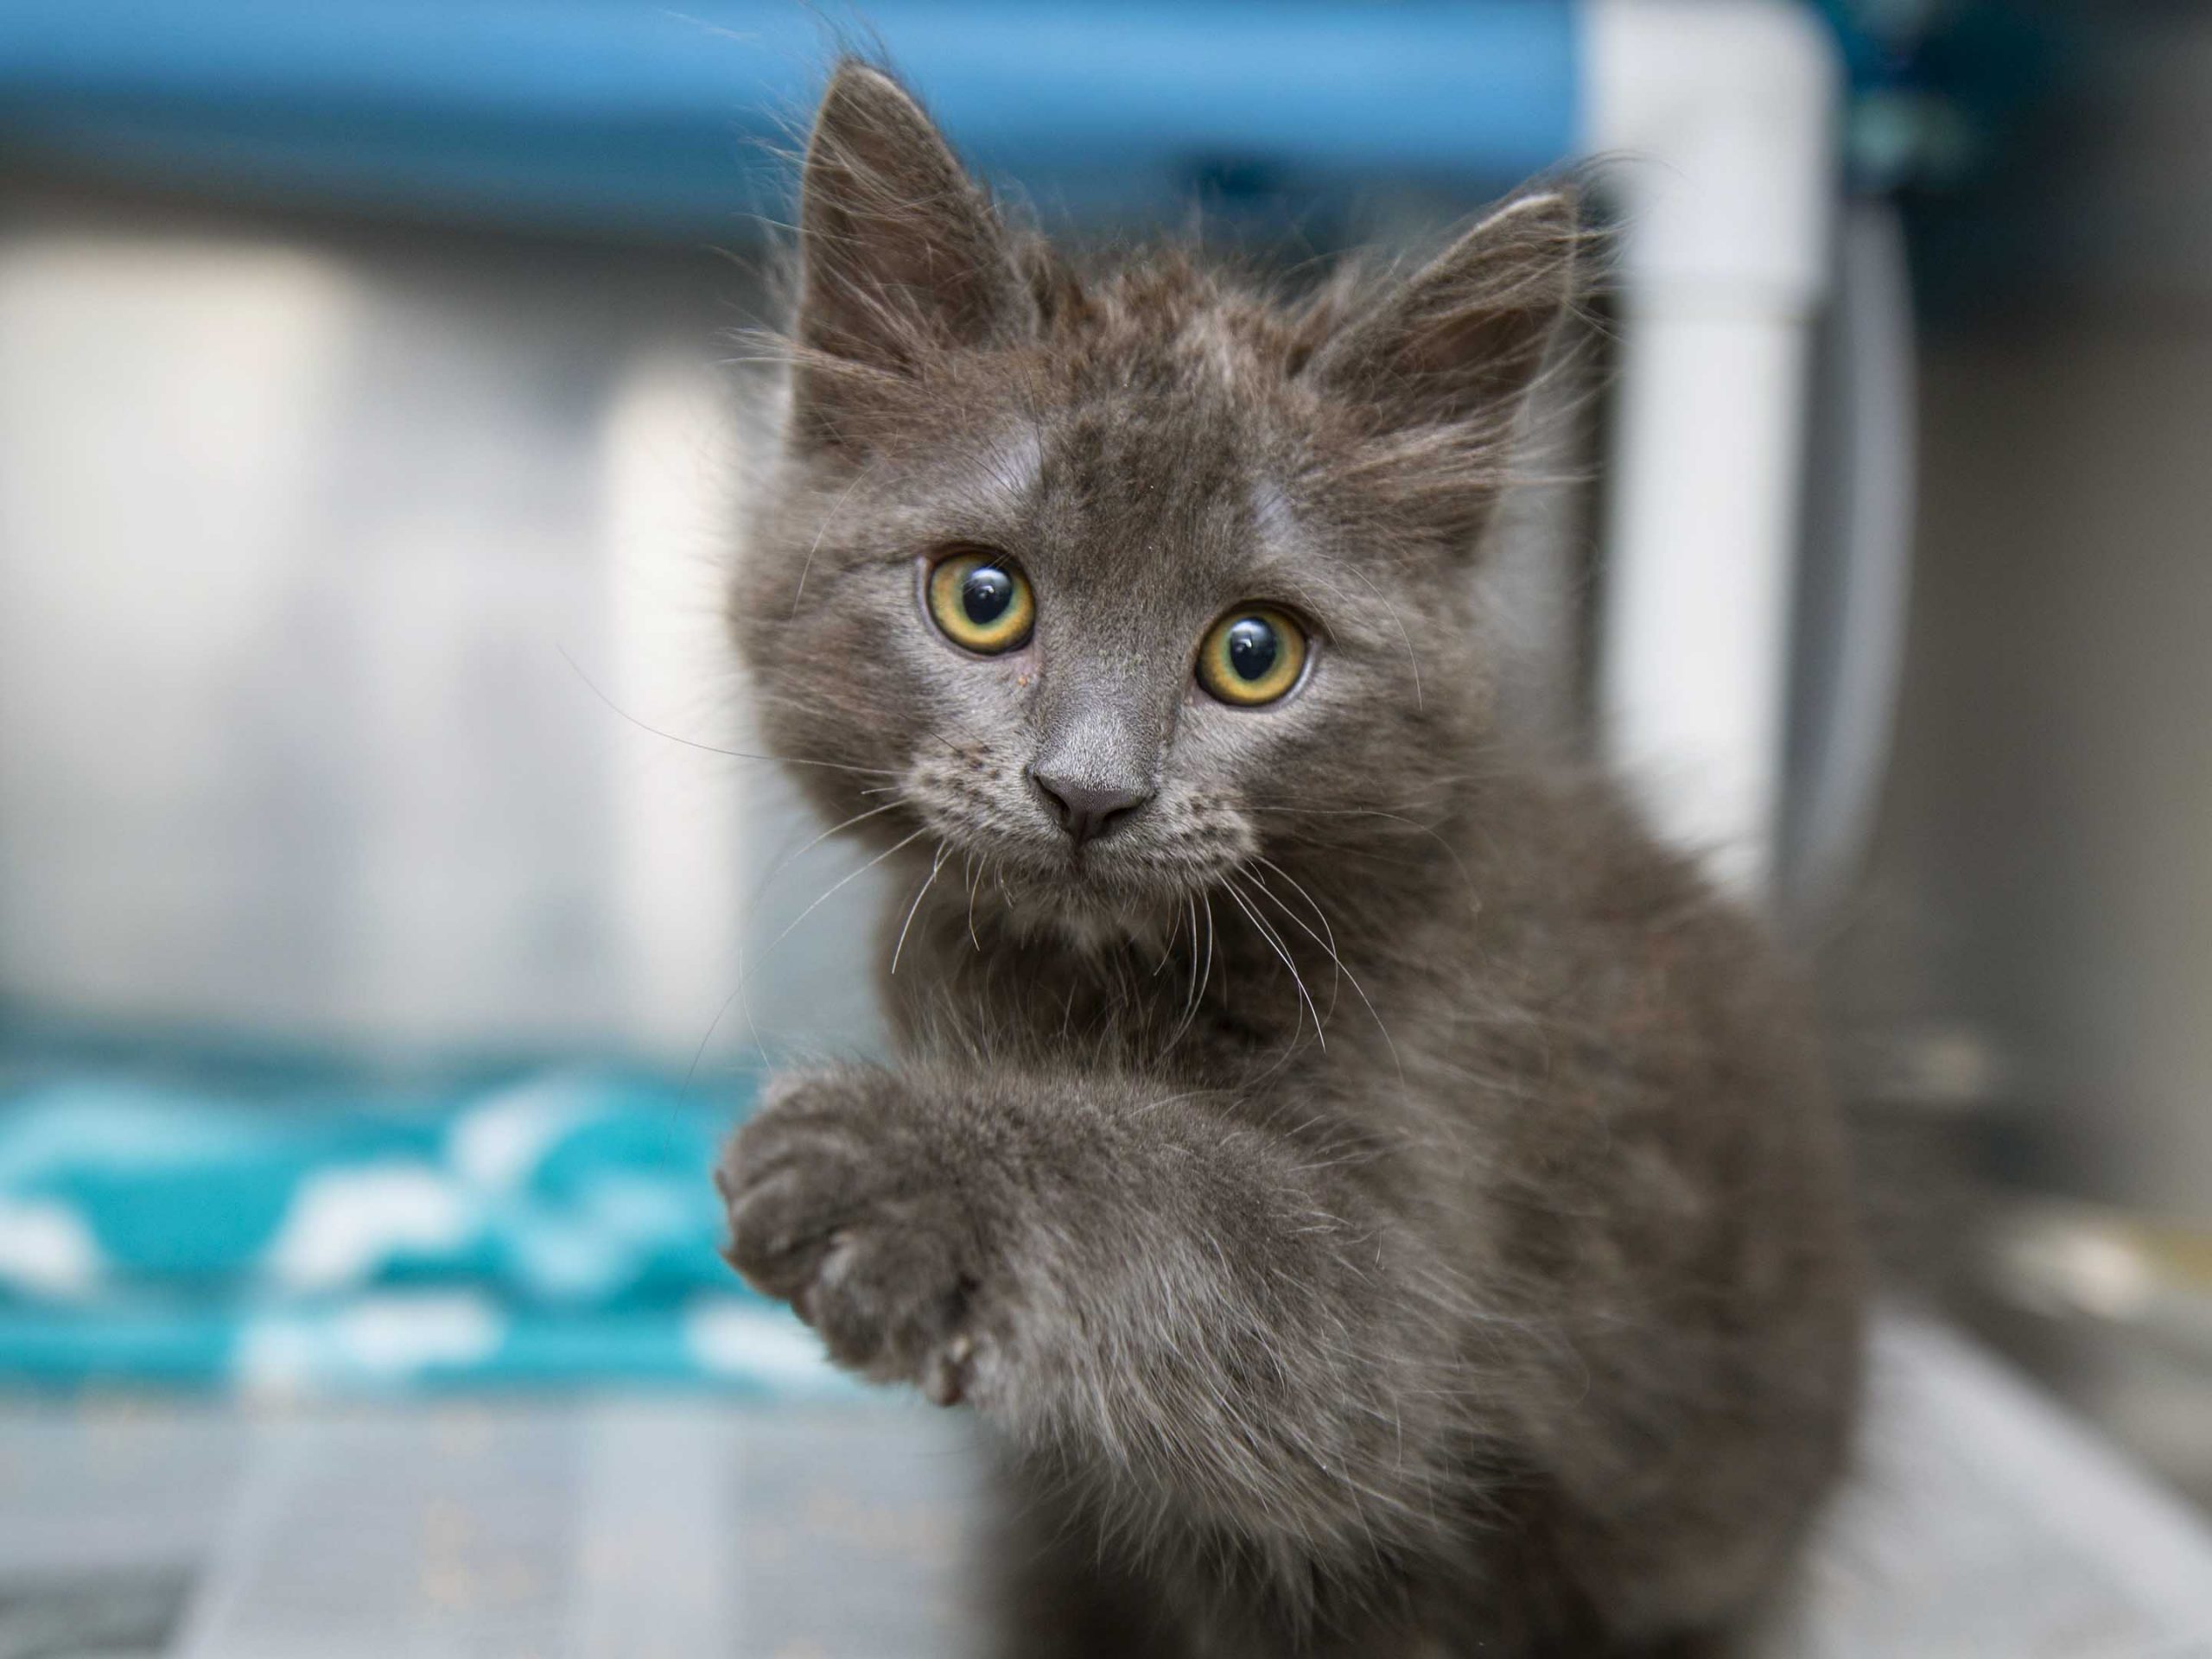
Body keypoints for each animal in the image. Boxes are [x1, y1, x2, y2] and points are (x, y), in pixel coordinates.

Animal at [725, 65, 1866, 1659]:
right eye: (982, 598)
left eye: (1253, 654)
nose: (1089, 792)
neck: (1074, 988)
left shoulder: (1416, 1248)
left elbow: (1188, 1212)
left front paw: (900, 1173)